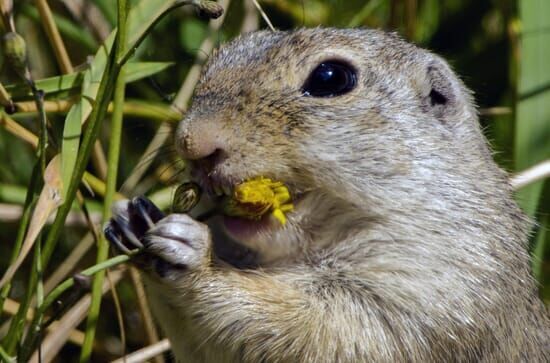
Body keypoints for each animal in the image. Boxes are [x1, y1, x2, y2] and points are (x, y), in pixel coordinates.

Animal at [105, 29, 548, 363]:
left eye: (330, 78)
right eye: (218, 59)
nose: (192, 143)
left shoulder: (439, 286)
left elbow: (325, 332)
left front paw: (196, 256)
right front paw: (131, 216)